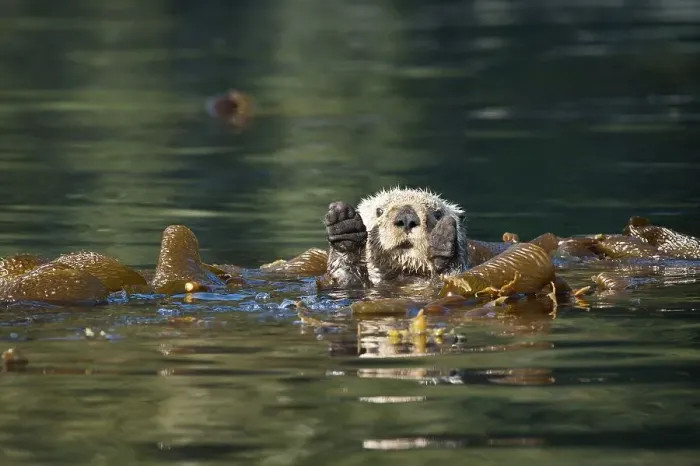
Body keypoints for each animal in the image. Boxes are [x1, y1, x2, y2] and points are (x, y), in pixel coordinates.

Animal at [324, 187, 468, 287]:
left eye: (438, 214)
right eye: (379, 211)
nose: (407, 217)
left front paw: (443, 242)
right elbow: (347, 277)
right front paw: (345, 228)